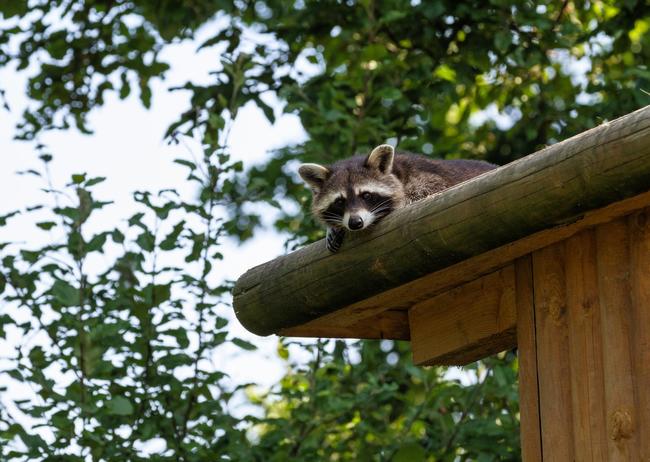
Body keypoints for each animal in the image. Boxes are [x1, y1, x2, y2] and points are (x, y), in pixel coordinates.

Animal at [298, 144, 496, 253]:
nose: (355, 223)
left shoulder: (426, 180)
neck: (396, 172)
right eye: (340, 201)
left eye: (366, 195)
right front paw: (333, 228)